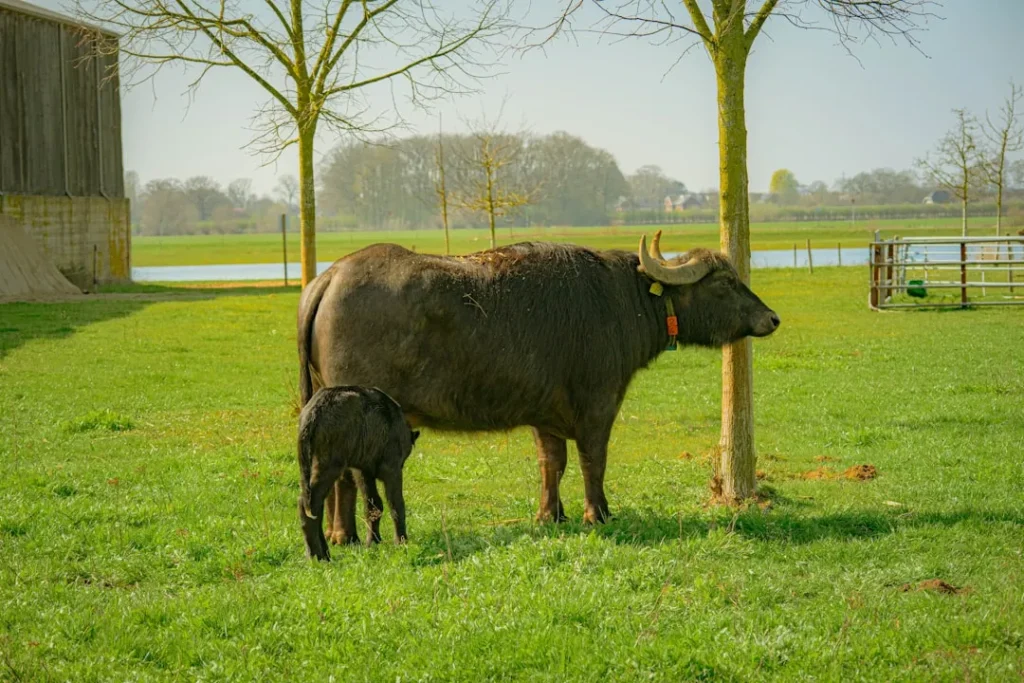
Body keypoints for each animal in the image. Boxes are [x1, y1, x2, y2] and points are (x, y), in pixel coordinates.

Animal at [297, 232, 779, 545]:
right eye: (724, 282)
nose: (771, 318)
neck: (627, 300)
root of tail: (328, 278)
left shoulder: (544, 414)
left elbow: (553, 463)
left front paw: (551, 514)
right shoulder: (599, 406)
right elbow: (593, 461)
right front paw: (597, 513)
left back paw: (339, 534)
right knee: (344, 477)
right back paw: (344, 535)